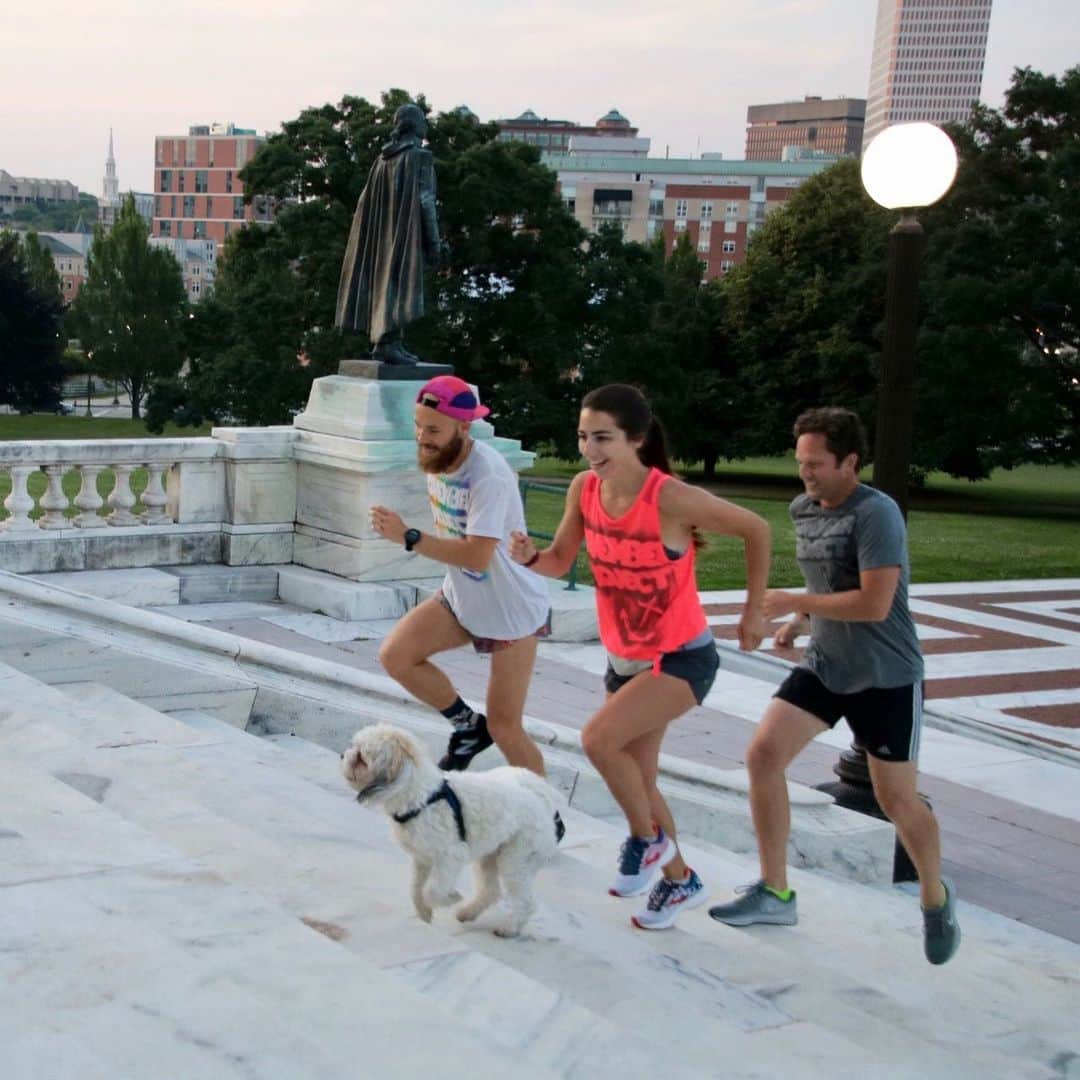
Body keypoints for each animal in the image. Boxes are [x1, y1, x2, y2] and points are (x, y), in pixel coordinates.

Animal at [341, 725, 561, 937]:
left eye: (361, 758)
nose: (343, 755)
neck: (420, 796)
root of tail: (540, 798)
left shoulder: (450, 855)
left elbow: (432, 891)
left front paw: (450, 898)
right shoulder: (422, 859)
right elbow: (415, 889)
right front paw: (424, 912)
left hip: (516, 859)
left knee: (526, 901)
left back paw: (509, 928)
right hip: (490, 855)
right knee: (490, 890)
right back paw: (467, 912)